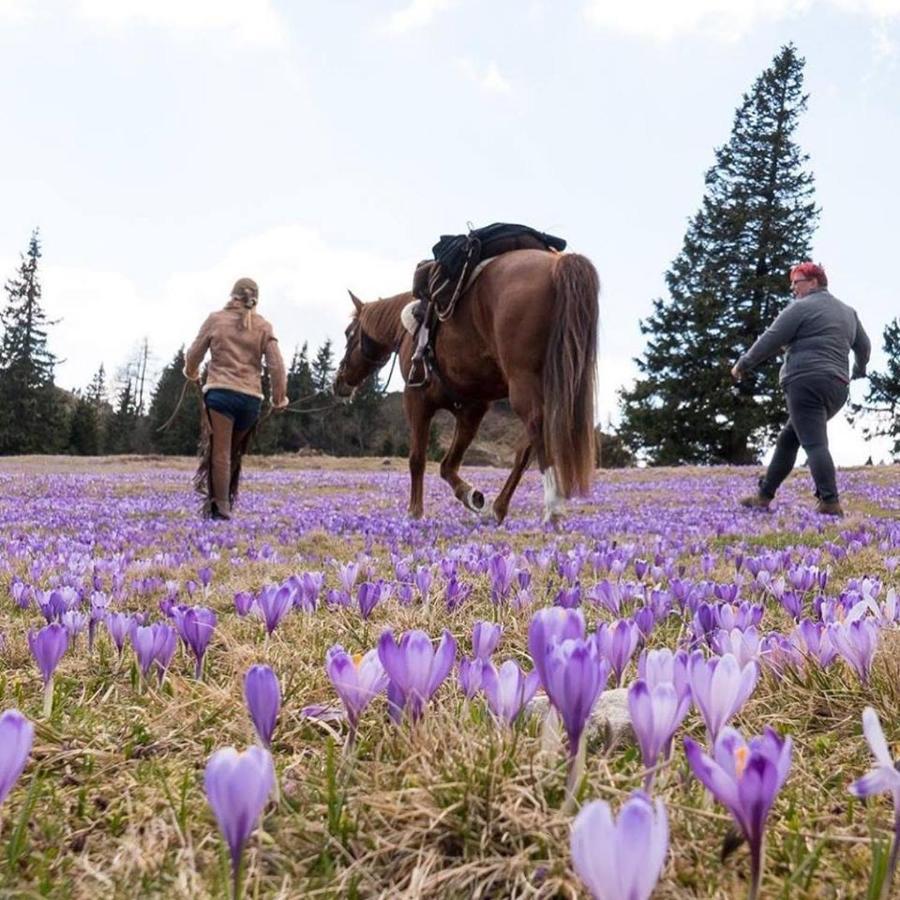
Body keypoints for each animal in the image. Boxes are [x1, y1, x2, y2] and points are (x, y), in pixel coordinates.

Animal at [332, 250, 596, 524]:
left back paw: (553, 507)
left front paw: (414, 512)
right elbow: (448, 465)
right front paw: (472, 496)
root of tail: (558, 264)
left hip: (524, 383)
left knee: (537, 427)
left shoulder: (417, 398)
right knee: (527, 447)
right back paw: (498, 508)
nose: (338, 381)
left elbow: (417, 458)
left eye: (348, 333)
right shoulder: (471, 408)